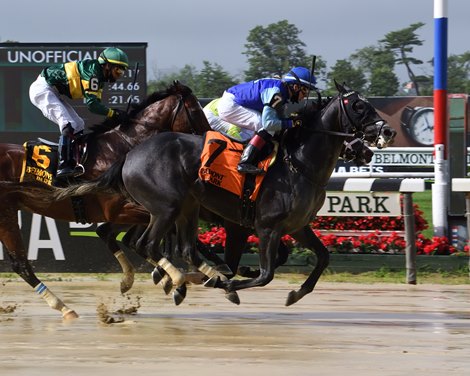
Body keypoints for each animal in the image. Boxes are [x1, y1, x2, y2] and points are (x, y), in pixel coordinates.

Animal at [0, 81, 210, 318]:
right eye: (196, 110)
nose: (208, 140)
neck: (121, 150)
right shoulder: (120, 208)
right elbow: (157, 233)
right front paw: (182, 279)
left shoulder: (135, 209)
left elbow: (118, 235)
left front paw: (147, 278)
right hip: (6, 214)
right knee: (21, 264)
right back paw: (64, 308)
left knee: (20, 264)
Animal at [49, 82, 396, 306]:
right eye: (358, 105)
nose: (386, 132)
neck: (299, 163)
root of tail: (129, 155)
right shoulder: (262, 227)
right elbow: (265, 273)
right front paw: (226, 282)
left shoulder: (296, 226)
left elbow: (322, 257)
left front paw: (294, 292)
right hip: (165, 208)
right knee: (143, 243)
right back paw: (179, 279)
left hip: (181, 208)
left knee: (161, 244)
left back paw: (171, 278)